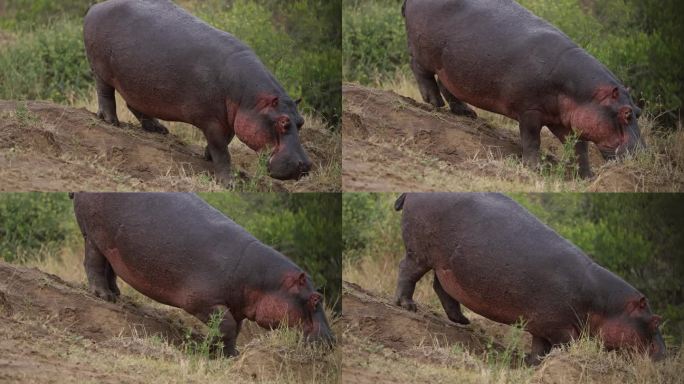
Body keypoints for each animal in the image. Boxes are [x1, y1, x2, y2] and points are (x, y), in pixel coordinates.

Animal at [72, 192, 334, 356]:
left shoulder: (236, 306)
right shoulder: (202, 300)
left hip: (111, 244)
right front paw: (214, 351)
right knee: (93, 262)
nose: (332, 340)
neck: (264, 281)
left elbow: (235, 329)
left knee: (109, 266)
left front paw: (232, 353)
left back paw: (116, 294)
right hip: (94, 234)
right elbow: (226, 326)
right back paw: (104, 296)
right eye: (316, 300)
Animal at [82, 0, 312, 186]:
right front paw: (228, 183)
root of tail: (96, 7)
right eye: (283, 122)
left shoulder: (230, 118)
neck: (251, 100)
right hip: (101, 69)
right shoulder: (212, 121)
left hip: (137, 84)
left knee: (134, 104)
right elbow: (222, 150)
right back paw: (111, 121)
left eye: (301, 122)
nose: (305, 165)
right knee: (105, 93)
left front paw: (207, 156)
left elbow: (226, 142)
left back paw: (158, 129)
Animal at [392, 194, 664, 364]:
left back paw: (463, 321)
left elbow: (539, 346)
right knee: (407, 271)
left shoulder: (540, 323)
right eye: (655, 321)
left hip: (447, 266)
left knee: (442, 288)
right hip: (420, 253)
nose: (664, 358)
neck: (605, 303)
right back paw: (407, 305)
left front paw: (530, 362)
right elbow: (561, 345)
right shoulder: (559, 326)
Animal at [400, 0, 640, 178]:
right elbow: (532, 139)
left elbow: (579, 148)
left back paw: (467, 113)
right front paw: (535, 167)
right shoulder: (530, 111)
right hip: (424, 51)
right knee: (420, 70)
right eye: (626, 114)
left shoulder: (565, 121)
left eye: (638, 111)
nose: (643, 153)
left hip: (451, 67)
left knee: (447, 85)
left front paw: (587, 176)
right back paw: (434, 102)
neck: (582, 92)